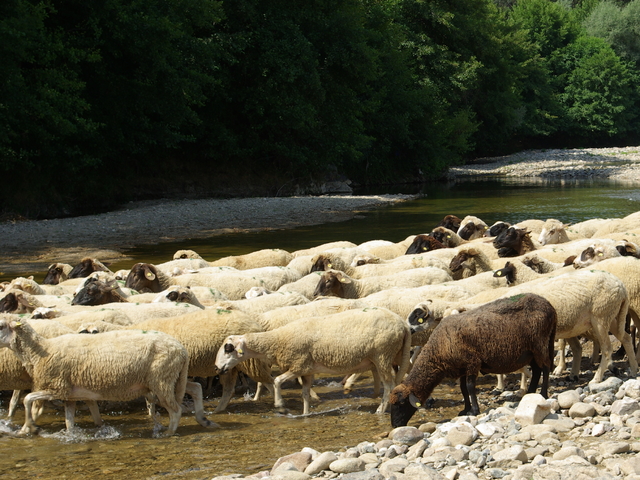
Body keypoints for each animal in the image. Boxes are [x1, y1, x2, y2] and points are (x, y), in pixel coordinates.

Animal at [218, 308, 412, 416]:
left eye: (228, 348)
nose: (218, 368)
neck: (278, 340)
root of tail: (402, 324)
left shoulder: (298, 364)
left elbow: (277, 381)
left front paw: (281, 407)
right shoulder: (307, 370)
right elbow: (304, 393)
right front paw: (305, 414)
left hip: (382, 355)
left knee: (389, 385)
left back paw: (381, 410)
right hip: (392, 355)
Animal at [388, 292, 556, 428]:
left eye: (401, 403)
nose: (395, 425)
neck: (438, 350)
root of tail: (549, 305)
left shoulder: (472, 362)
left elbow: (469, 387)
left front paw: (474, 410)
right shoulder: (461, 367)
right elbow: (463, 389)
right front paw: (465, 409)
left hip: (540, 343)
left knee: (546, 367)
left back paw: (543, 393)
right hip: (531, 350)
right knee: (537, 370)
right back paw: (531, 393)